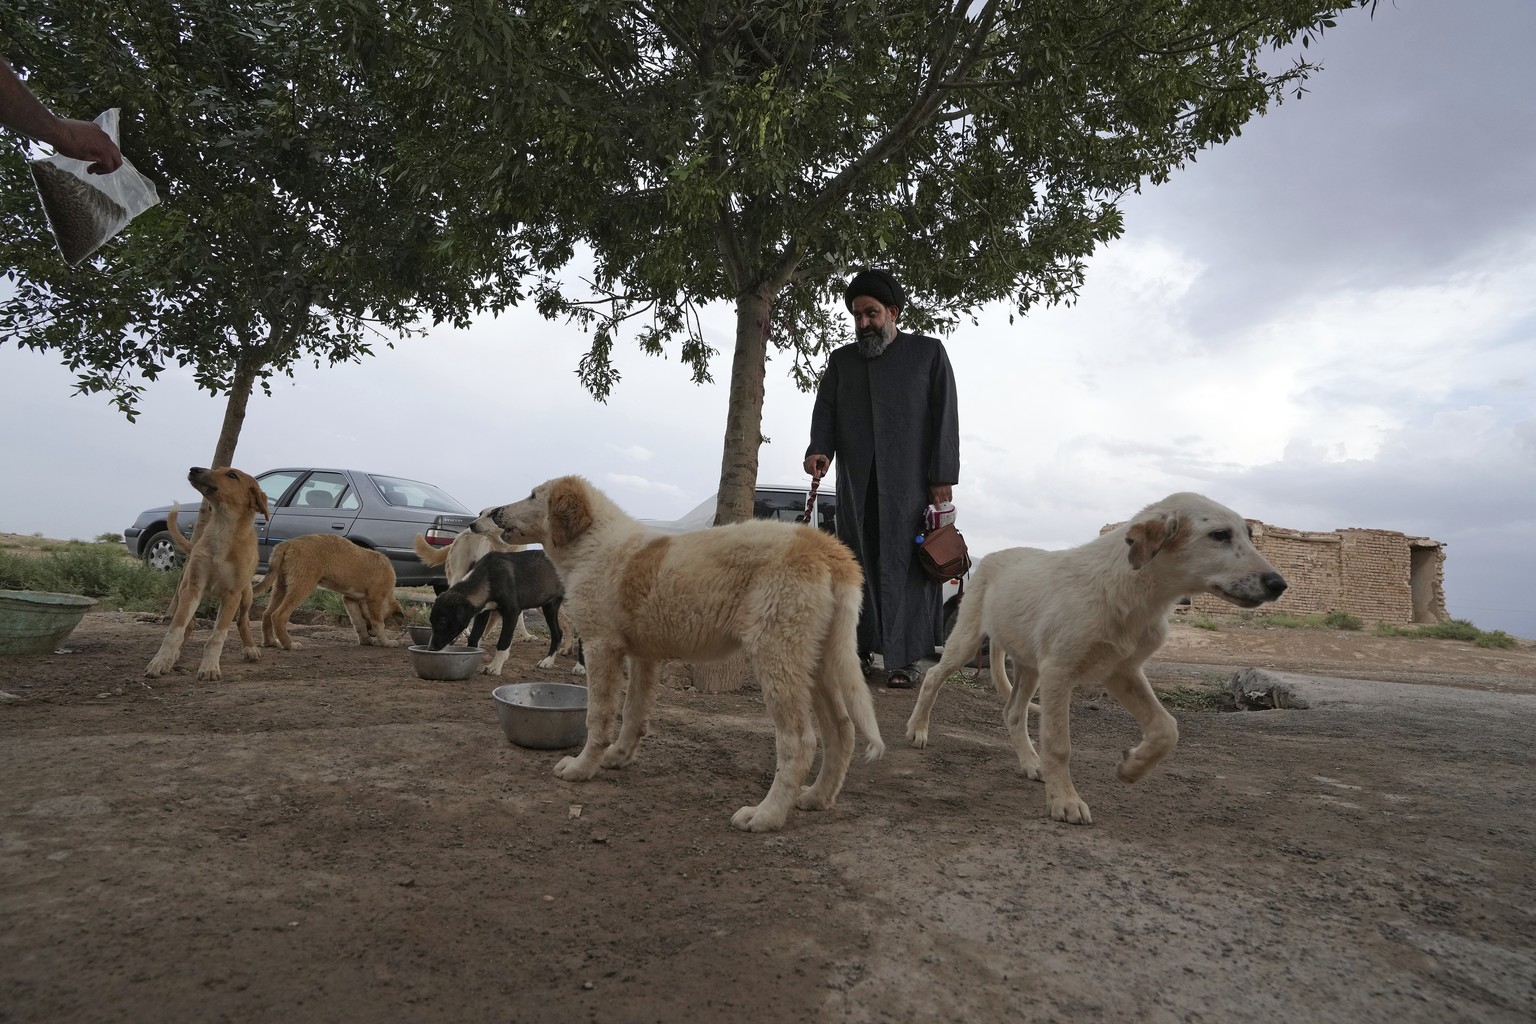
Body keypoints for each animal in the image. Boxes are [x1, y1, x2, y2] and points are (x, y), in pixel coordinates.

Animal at [144, 469, 270, 684]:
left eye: (232, 475)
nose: (193, 469)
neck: (223, 528)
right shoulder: (193, 588)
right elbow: (175, 630)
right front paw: (160, 661)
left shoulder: (232, 595)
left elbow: (217, 636)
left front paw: (210, 667)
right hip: (183, 589)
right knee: (190, 625)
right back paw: (174, 656)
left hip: (246, 595)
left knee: (242, 620)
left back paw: (250, 648)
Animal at [250, 537, 402, 647]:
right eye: (387, 618)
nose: (372, 633)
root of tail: (289, 543)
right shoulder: (375, 599)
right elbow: (378, 623)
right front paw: (386, 642)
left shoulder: (350, 600)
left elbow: (358, 622)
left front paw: (366, 641)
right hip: (302, 586)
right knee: (278, 615)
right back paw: (289, 644)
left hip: (281, 587)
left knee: (266, 614)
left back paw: (270, 642)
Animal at [430, 549, 574, 675]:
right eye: (431, 622)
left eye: (442, 623)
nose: (431, 648)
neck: (488, 576)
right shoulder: (483, 612)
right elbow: (474, 637)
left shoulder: (512, 612)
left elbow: (503, 642)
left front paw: (495, 667)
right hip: (550, 606)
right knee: (557, 633)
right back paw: (548, 661)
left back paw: (577, 667)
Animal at [473, 475, 884, 835]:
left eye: (533, 495)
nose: (494, 512)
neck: (592, 545)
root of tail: (827, 548)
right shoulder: (643, 656)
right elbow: (633, 712)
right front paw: (618, 757)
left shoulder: (601, 646)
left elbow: (599, 716)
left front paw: (582, 767)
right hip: (818, 660)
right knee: (842, 729)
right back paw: (816, 797)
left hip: (778, 654)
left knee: (800, 742)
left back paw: (766, 816)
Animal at [903, 491, 1290, 829]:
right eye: (1219, 535)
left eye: (1249, 535)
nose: (1278, 584)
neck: (1136, 593)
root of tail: (992, 555)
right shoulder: (1060, 671)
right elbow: (1059, 745)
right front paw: (1065, 801)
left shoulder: (1123, 671)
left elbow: (1167, 728)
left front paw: (1132, 768)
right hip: (968, 640)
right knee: (935, 676)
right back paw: (917, 730)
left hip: (1030, 664)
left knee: (1013, 712)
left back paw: (1031, 763)